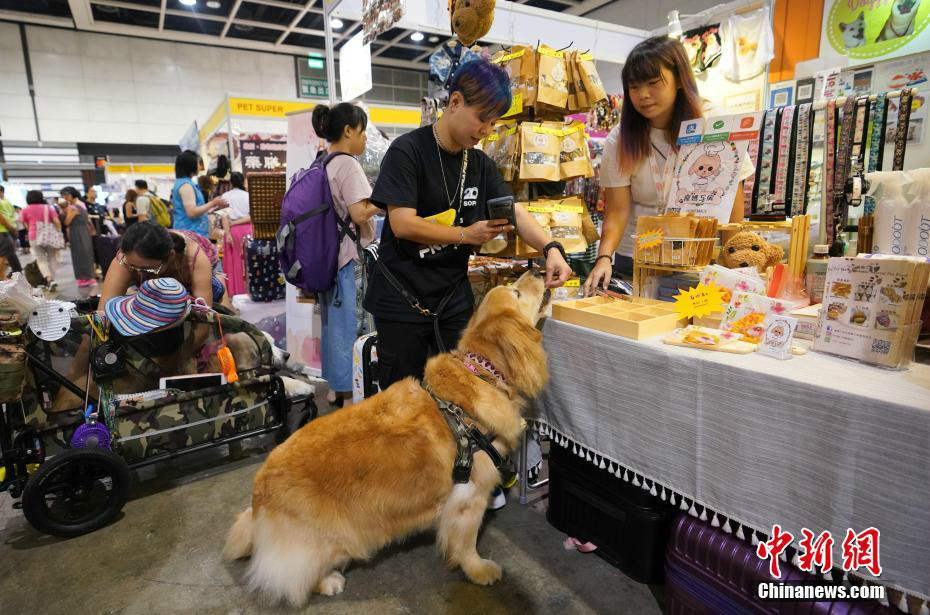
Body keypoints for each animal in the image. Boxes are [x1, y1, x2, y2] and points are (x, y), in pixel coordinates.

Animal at [221, 270, 548, 608]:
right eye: (516, 293)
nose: (538, 270)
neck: (480, 375)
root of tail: (259, 492)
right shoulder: (468, 499)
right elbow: (466, 543)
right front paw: (479, 570)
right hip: (332, 537)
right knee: (295, 575)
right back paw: (328, 581)